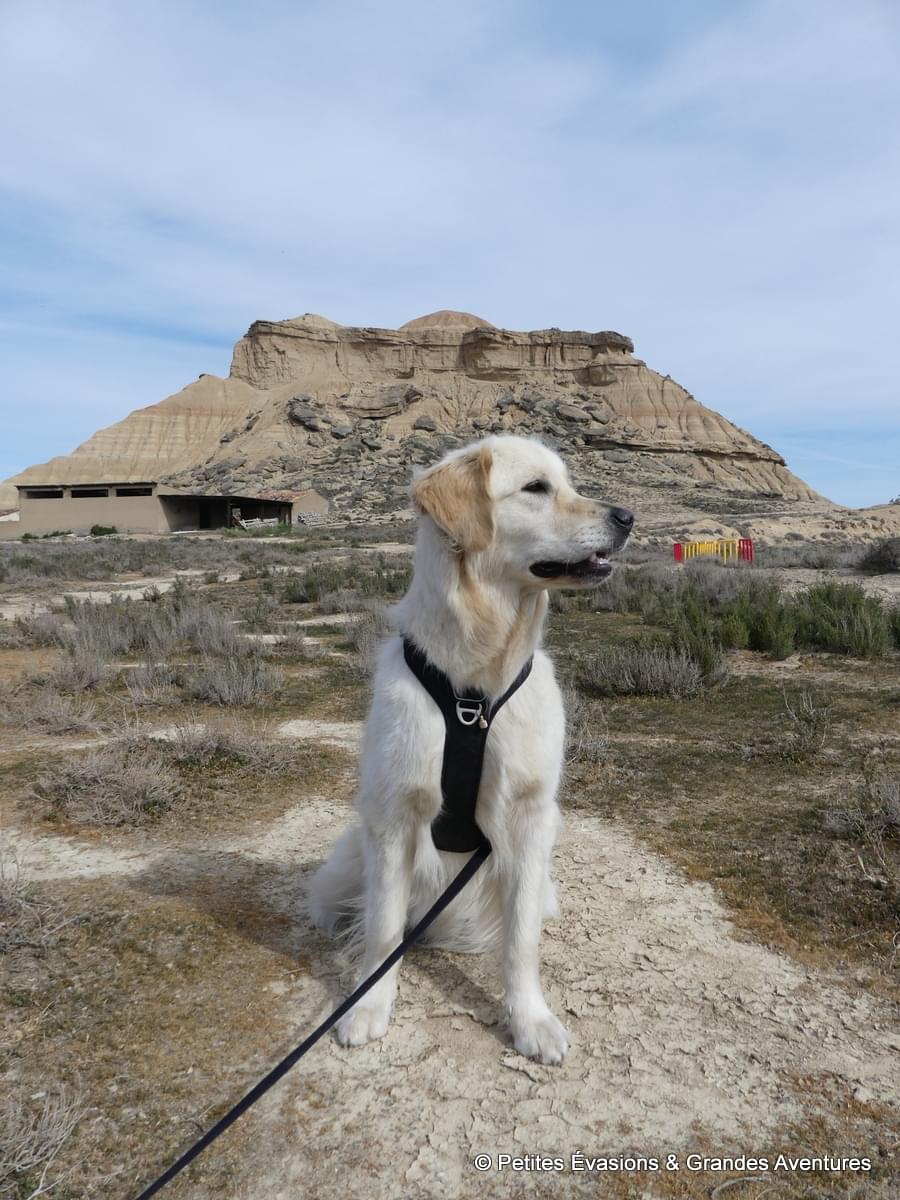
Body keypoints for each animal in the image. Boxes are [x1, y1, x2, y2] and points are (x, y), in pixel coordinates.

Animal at [308, 435, 633, 1064]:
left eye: (568, 482)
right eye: (536, 488)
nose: (628, 517)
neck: (472, 691)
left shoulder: (529, 817)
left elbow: (521, 941)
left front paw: (530, 1021)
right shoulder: (395, 815)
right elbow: (383, 930)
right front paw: (369, 1006)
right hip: (348, 864)